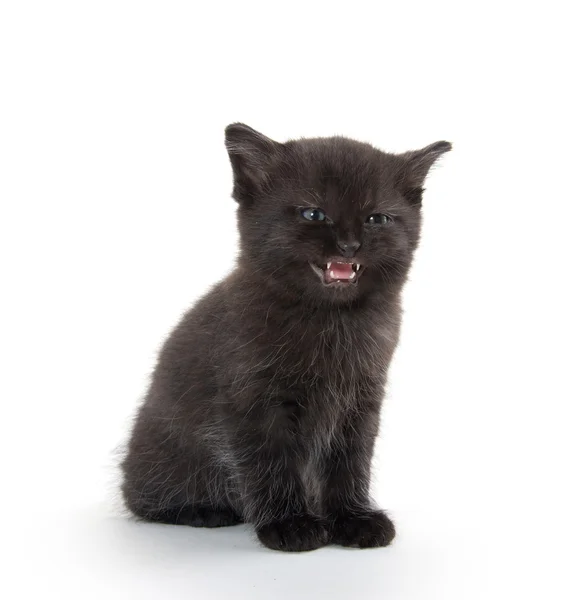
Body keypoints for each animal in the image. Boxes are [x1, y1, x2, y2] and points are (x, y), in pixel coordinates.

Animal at [120, 124, 450, 552]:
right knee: (142, 498)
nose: (349, 245)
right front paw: (290, 524)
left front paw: (352, 518)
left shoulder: (360, 401)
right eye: (314, 213)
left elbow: (350, 461)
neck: (330, 319)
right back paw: (203, 510)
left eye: (377, 218)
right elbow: (269, 463)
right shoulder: (254, 401)